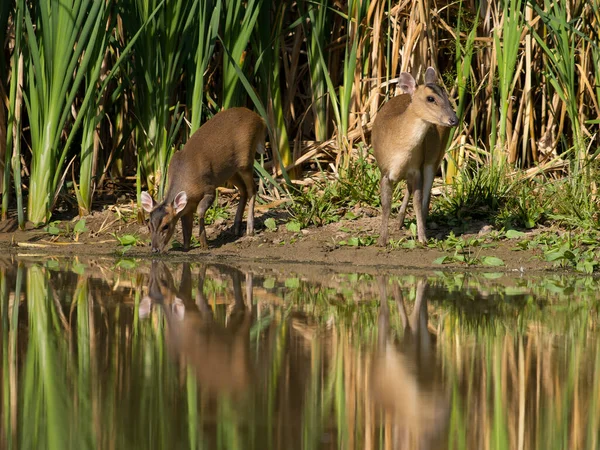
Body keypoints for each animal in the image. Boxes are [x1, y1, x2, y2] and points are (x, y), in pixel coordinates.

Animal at [141, 106, 264, 253]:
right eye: (149, 226)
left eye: (166, 226)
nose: (155, 249)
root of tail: (259, 120)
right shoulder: (186, 208)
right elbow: (186, 229)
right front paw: (186, 247)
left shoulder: (209, 189)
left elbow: (200, 211)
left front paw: (204, 243)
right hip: (230, 171)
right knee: (243, 190)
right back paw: (236, 227)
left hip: (245, 160)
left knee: (252, 188)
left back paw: (250, 229)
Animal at [370, 66, 460, 246]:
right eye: (430, 98)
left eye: (446, 95)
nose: (454, 119)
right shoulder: (384, 171)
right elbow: (386, 205)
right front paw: (382, 240)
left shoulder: (417, 168)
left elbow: (418, 201)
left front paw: (422, 237)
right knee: (410, 188)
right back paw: (399, 222)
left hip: (435, 156)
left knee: (426, 193)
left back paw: (421, 224)